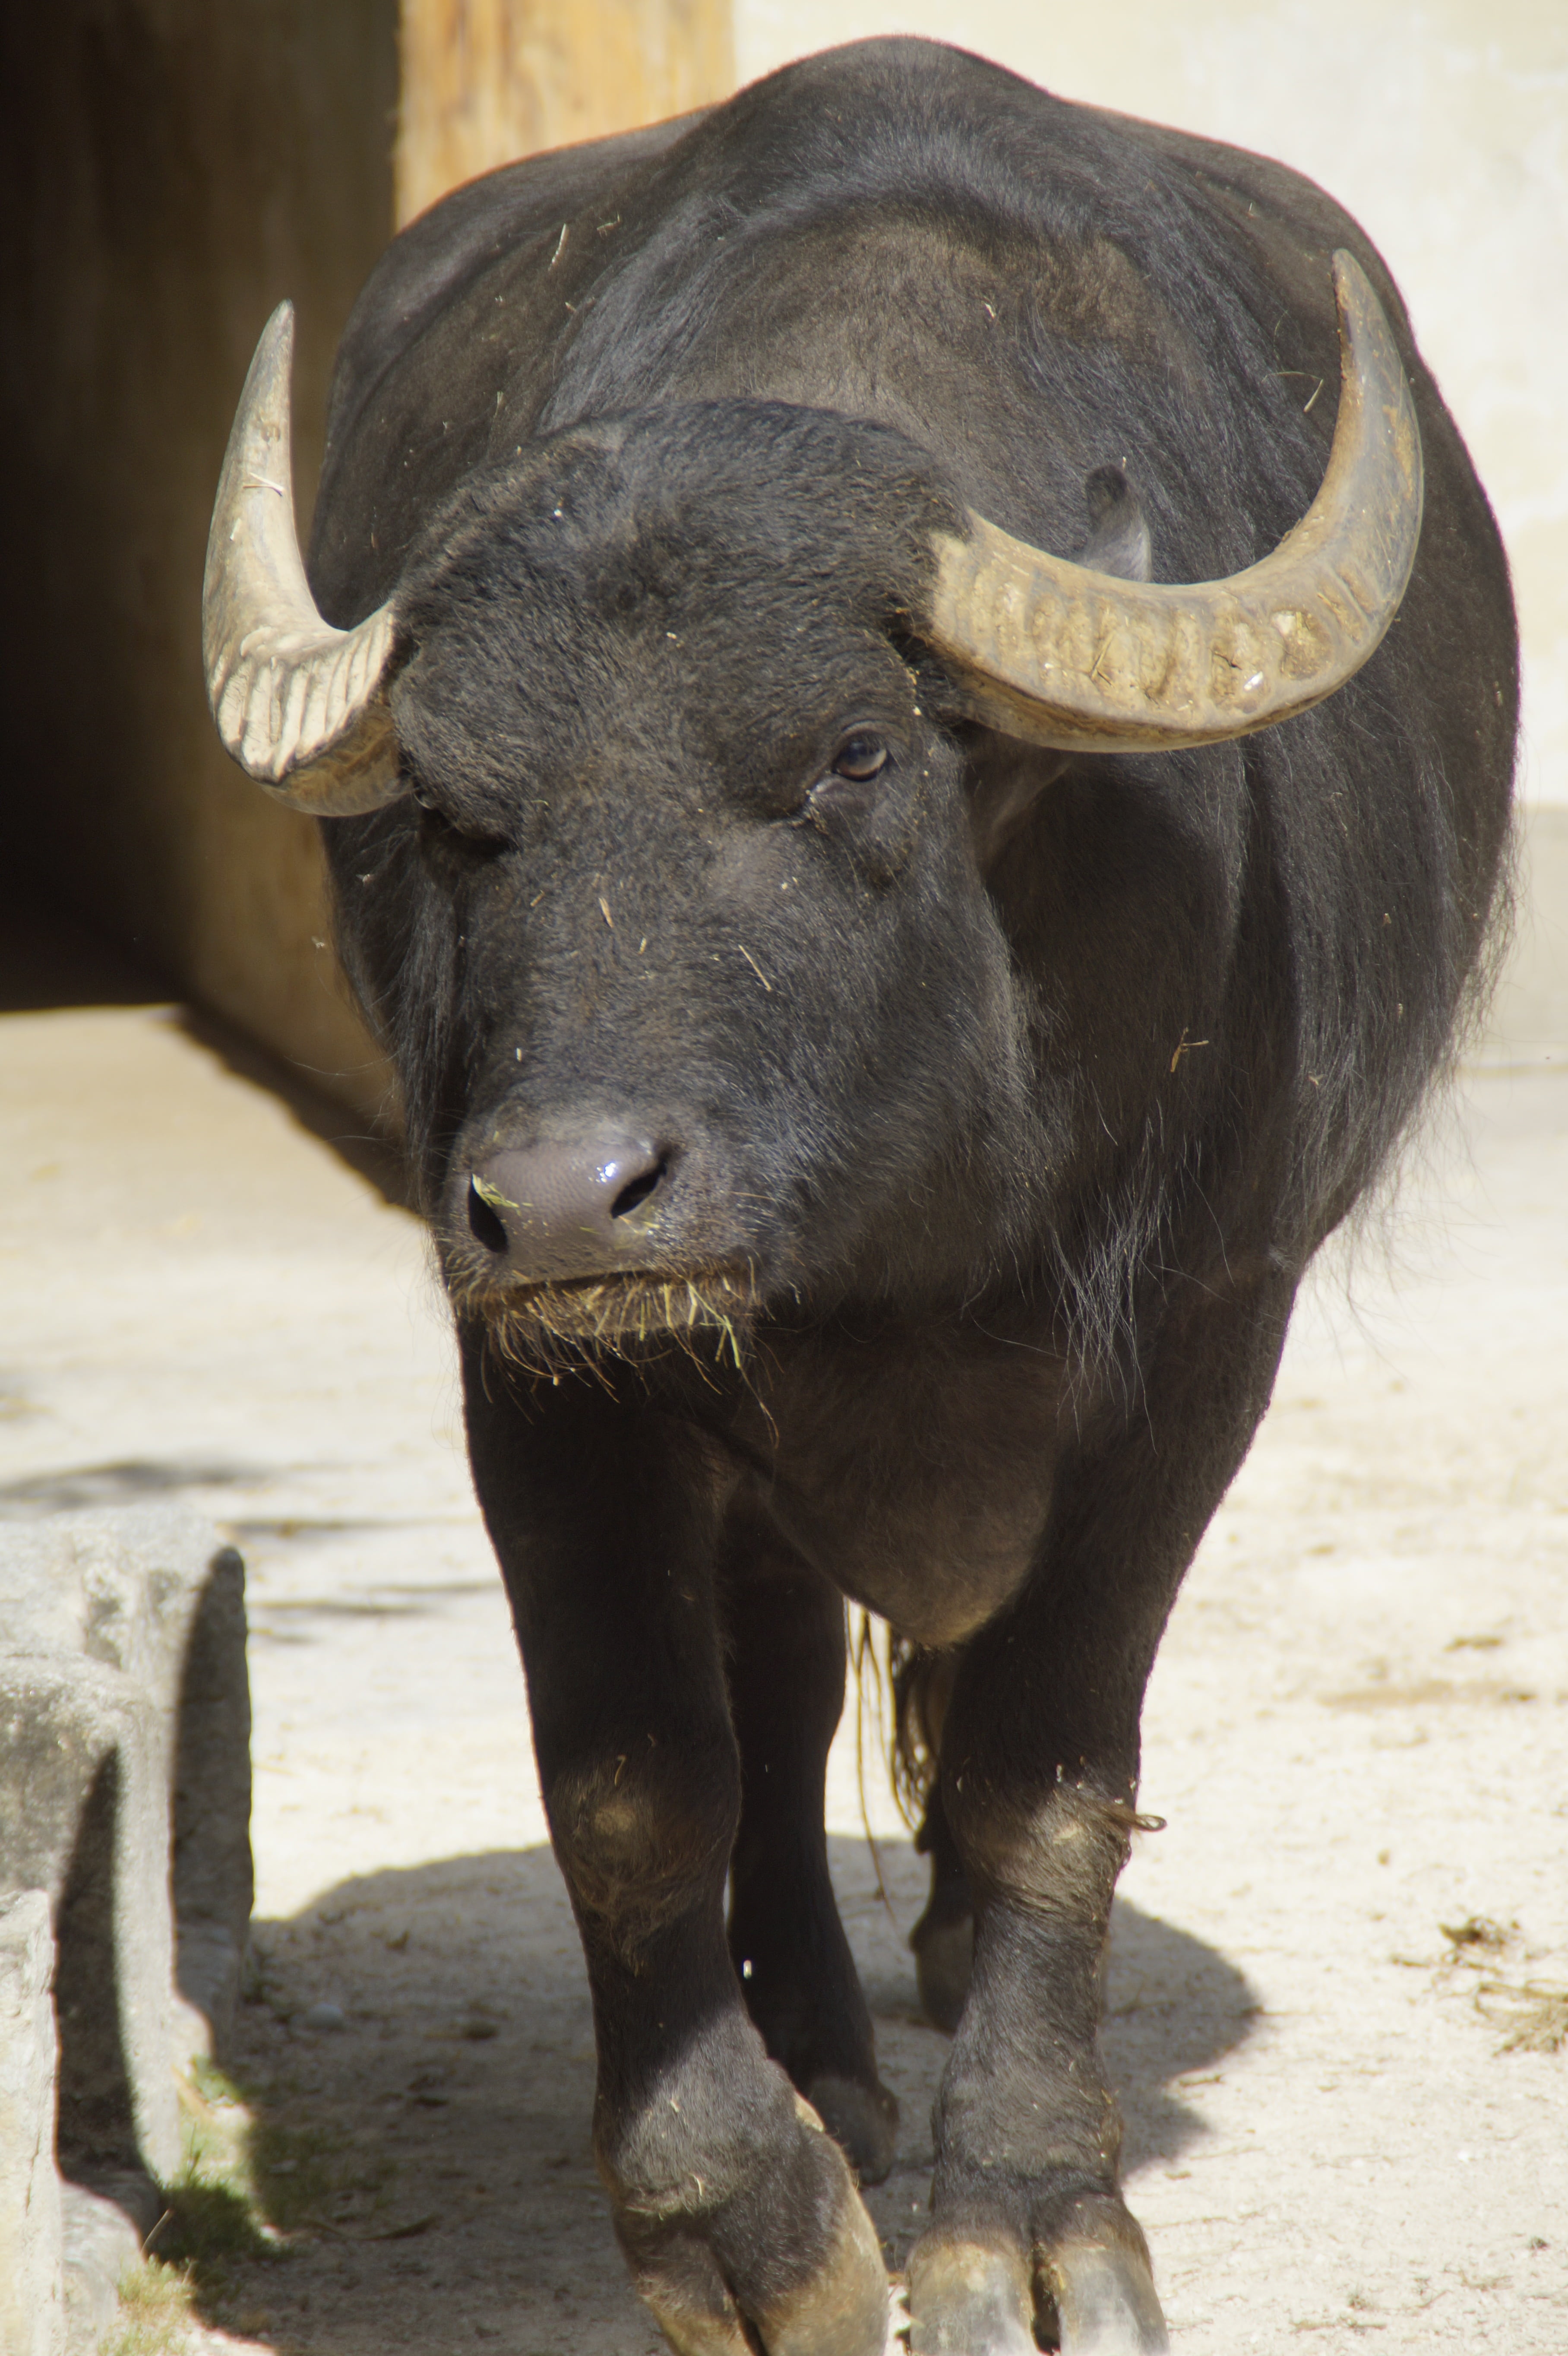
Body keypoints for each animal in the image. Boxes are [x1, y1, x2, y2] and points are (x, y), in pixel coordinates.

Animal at [202, 37, 1515, 2355]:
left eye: (848, 754)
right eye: (447, 810)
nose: (570, 1198)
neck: (908, 1224)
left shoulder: (1204, 1338)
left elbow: (1045, 1776)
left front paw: (1026, 2211)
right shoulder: (534, 1362)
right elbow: (637, 1770)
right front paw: (748, 2216)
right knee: (789, 1680)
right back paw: (818, 2036)